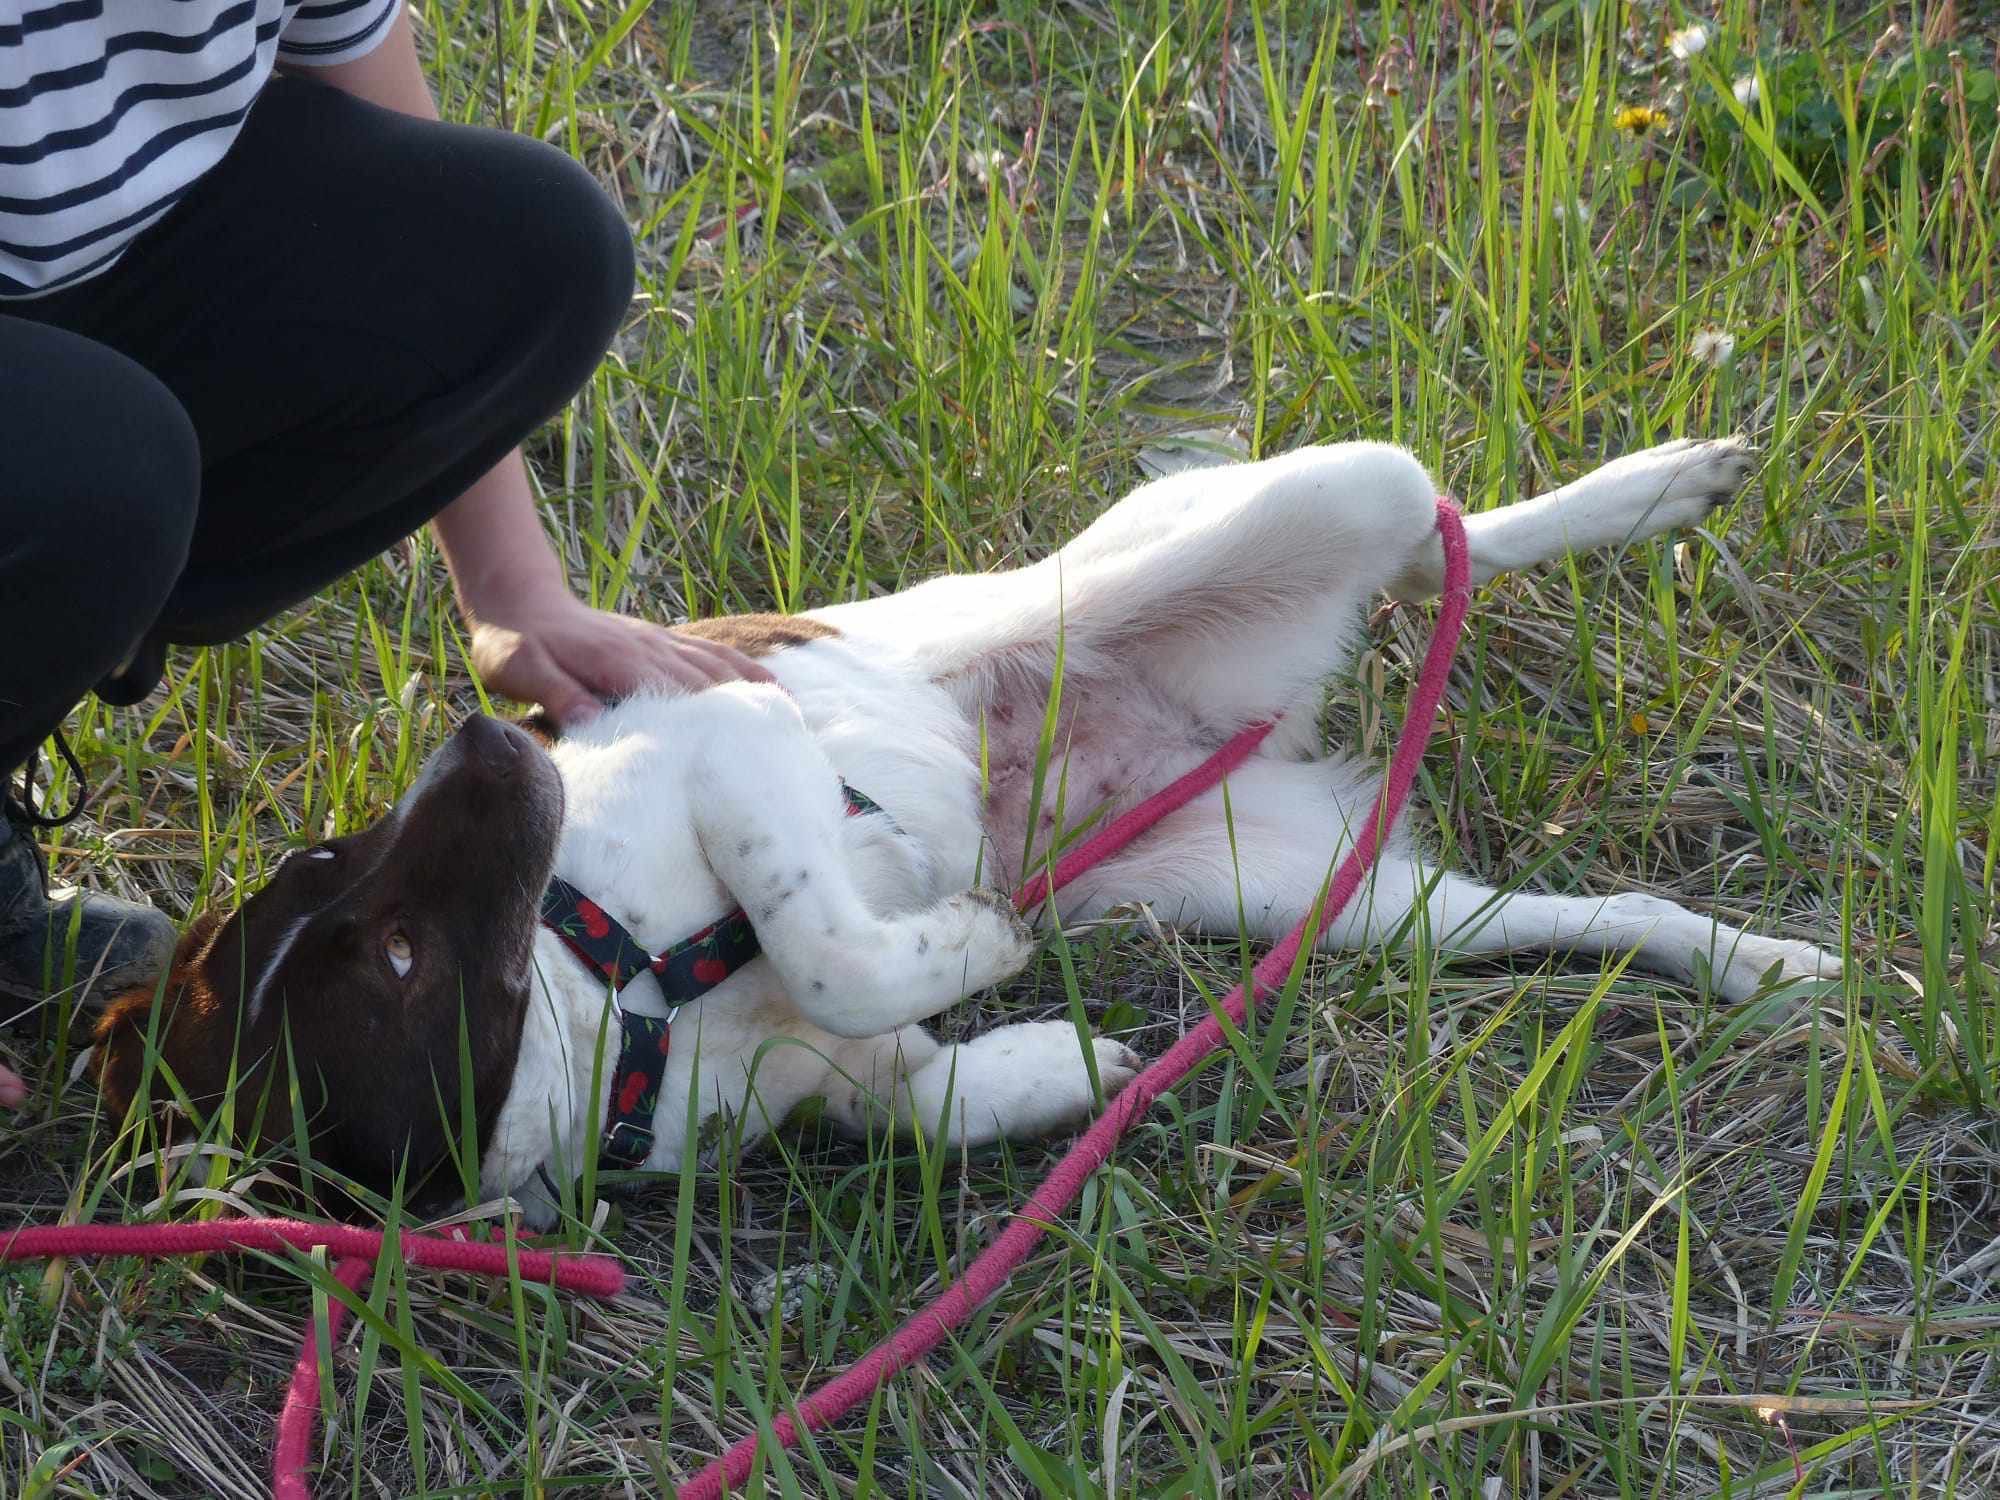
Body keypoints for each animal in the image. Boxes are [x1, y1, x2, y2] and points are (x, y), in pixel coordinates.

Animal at [101, 432, 1832, 1224]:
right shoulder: (847, 1088)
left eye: (338, 867)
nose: (482, 723)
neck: (611, 1009)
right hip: (1307, 890)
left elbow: (830, 932)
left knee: (1437, 533)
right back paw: (1763, 965)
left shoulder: (737, 742)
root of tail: (1178, 727)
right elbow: (929, 1086)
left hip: (1301, 503)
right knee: (1584, 916)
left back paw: (1651, 489)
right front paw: (1058, 1056)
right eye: (387, 943)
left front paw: (970, 935)